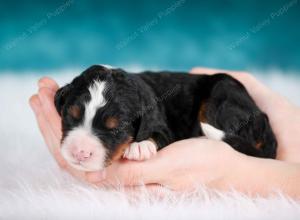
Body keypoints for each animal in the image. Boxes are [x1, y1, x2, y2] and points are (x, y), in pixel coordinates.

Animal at [54, 64, 276, 171]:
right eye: (70, 116)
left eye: (116, 128)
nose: (80, 152)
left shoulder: (163, 125)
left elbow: (157, 135)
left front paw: (140, 146)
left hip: (222, 96)